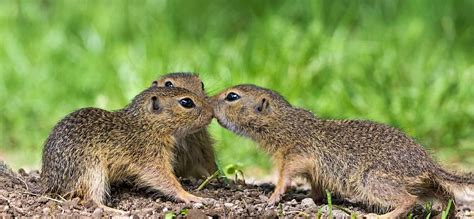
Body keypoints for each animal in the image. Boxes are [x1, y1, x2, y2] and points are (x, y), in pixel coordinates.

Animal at [41, 86, 212, 211]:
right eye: (186, 102)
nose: (211, 113)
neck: (147, 124)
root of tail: (49, 182)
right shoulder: (149, 158)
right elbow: (163, 179)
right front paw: (189, 196)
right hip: (92, 171)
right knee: (90, 200)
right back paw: (116, 211)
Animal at [212, 84, 474, 217]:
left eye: (232, 96)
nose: (209, 101)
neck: (284, 123)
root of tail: (428, 164)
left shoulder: (296, 154)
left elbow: (285, 175)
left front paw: (275, 195)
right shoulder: (315, 170)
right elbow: (316, 187)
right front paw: (307, 197)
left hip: (373, 180)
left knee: (409, 200)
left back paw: (383, 215)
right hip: (425, 183)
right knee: (447, 196)